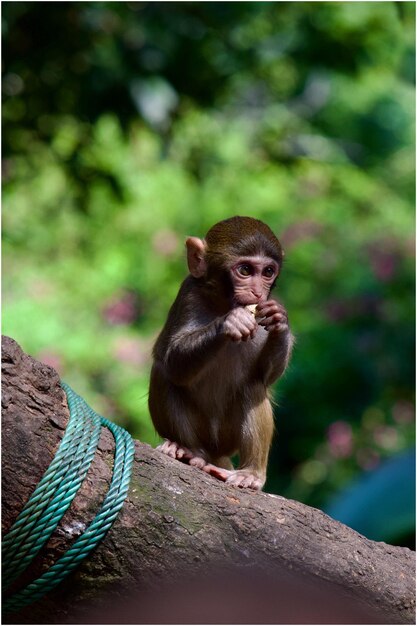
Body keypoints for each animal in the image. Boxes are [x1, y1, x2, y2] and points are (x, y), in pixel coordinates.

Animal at [149, 214, 292, 488]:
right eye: (245, 270)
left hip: (227, 439)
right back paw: (185, 450)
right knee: (163, 374)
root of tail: (215, 453)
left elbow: (265, 375)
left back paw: (251, 473)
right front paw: (229, 323)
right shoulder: (189, 294)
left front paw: (281, 323)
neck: (222, 303)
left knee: (253, 386)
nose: (257, 292)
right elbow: (172, 363)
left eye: (268, 272)